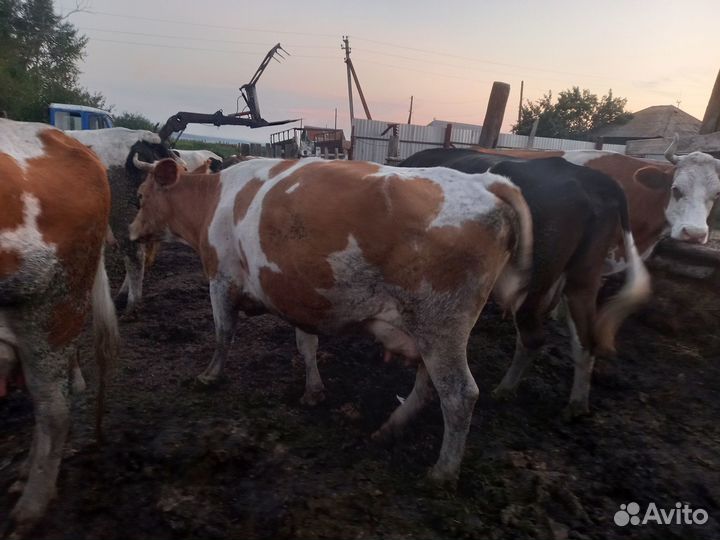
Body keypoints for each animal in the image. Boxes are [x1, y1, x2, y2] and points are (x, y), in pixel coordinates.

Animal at [128, 156, 532, 483]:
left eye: (139, 196)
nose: (131, 231)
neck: (214, 199)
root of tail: (486, 182)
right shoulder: (296, 292)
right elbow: (306, 344)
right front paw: (313, 391)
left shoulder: (221, 277)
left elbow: (223, 333)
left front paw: (210, 376)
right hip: (429, 328)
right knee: (429, 384)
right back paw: (390, 428)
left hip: (440, 325)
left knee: (459, 394)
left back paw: (443, 473)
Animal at [399, 149, 651, 417]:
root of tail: (589, 177)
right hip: (583, 277)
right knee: (584, 339)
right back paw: (577, 405)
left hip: (534, 283)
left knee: (533, 338)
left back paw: (505, 388)